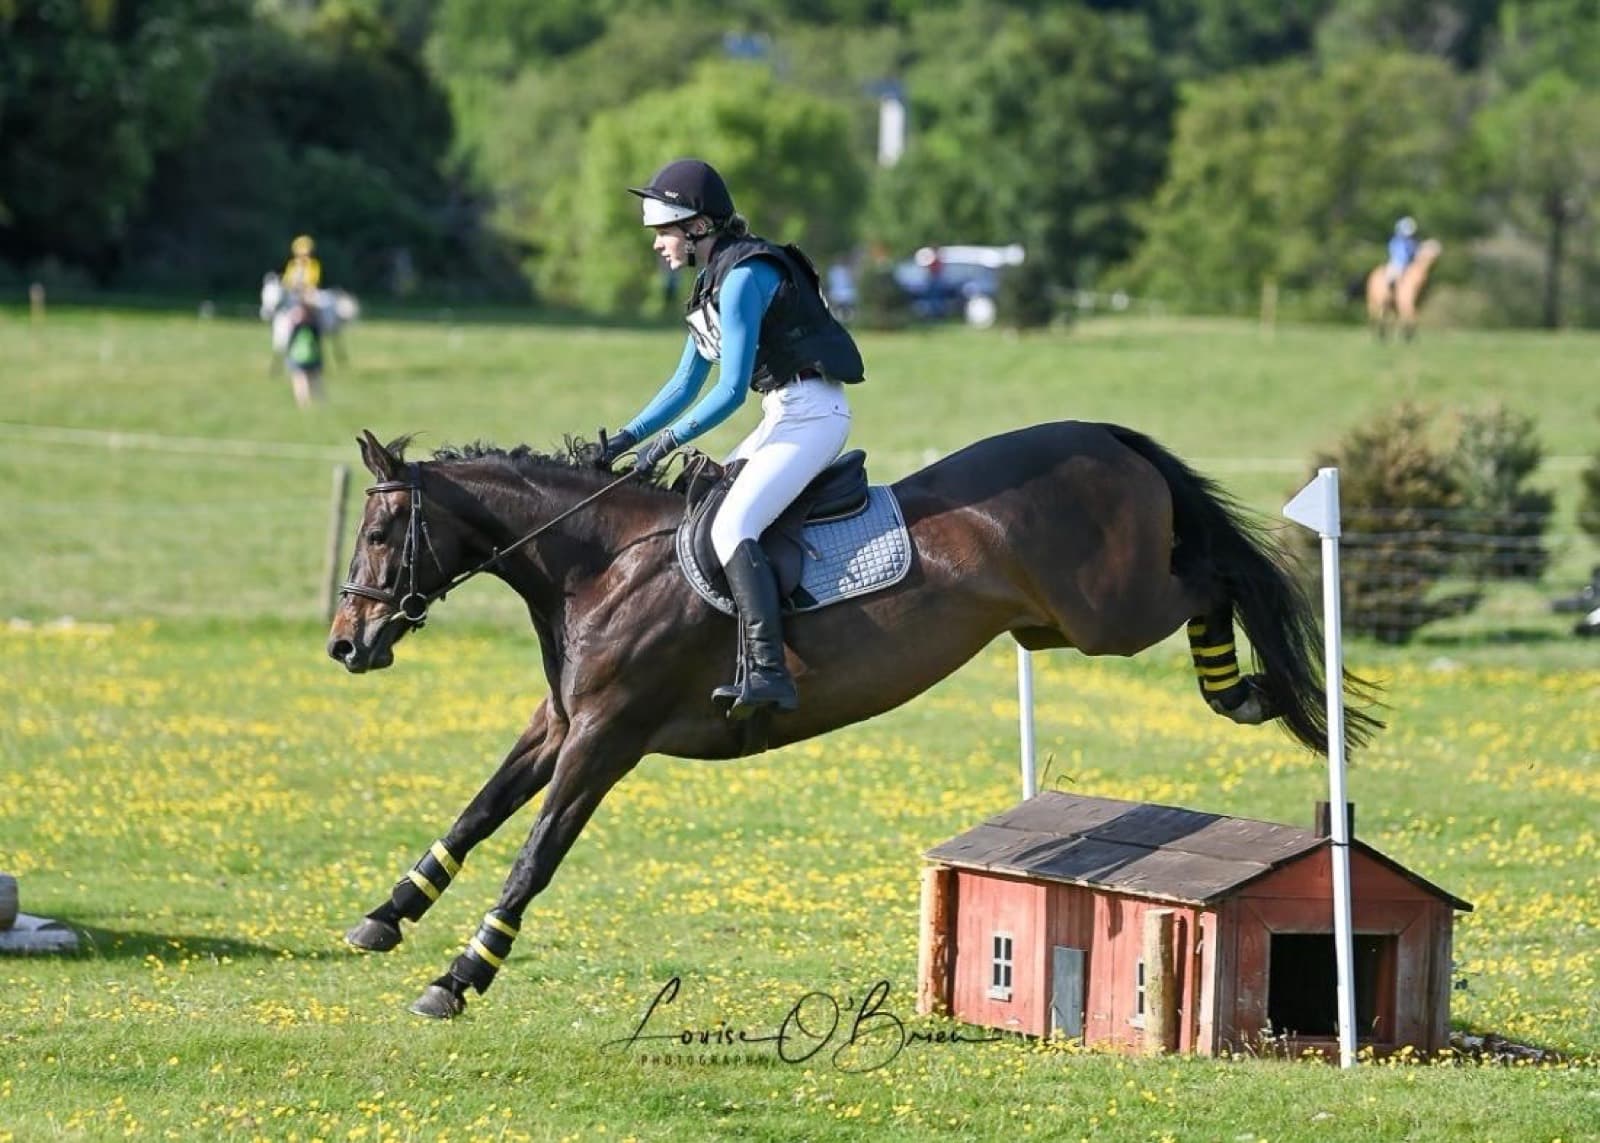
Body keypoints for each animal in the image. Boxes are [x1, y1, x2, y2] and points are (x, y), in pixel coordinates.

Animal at [326, 424, 1381, 1019]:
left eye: (379, 532)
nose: (346, 645)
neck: (602, 562)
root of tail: (1111, 437)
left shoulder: (607, 739)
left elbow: (532, 854)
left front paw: (459, 978)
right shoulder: (560, 724)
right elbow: (475, 813)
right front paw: (386, 914)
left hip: (1109, 614)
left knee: (1216, 576)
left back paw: (1243, 690)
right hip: (1056, 620)